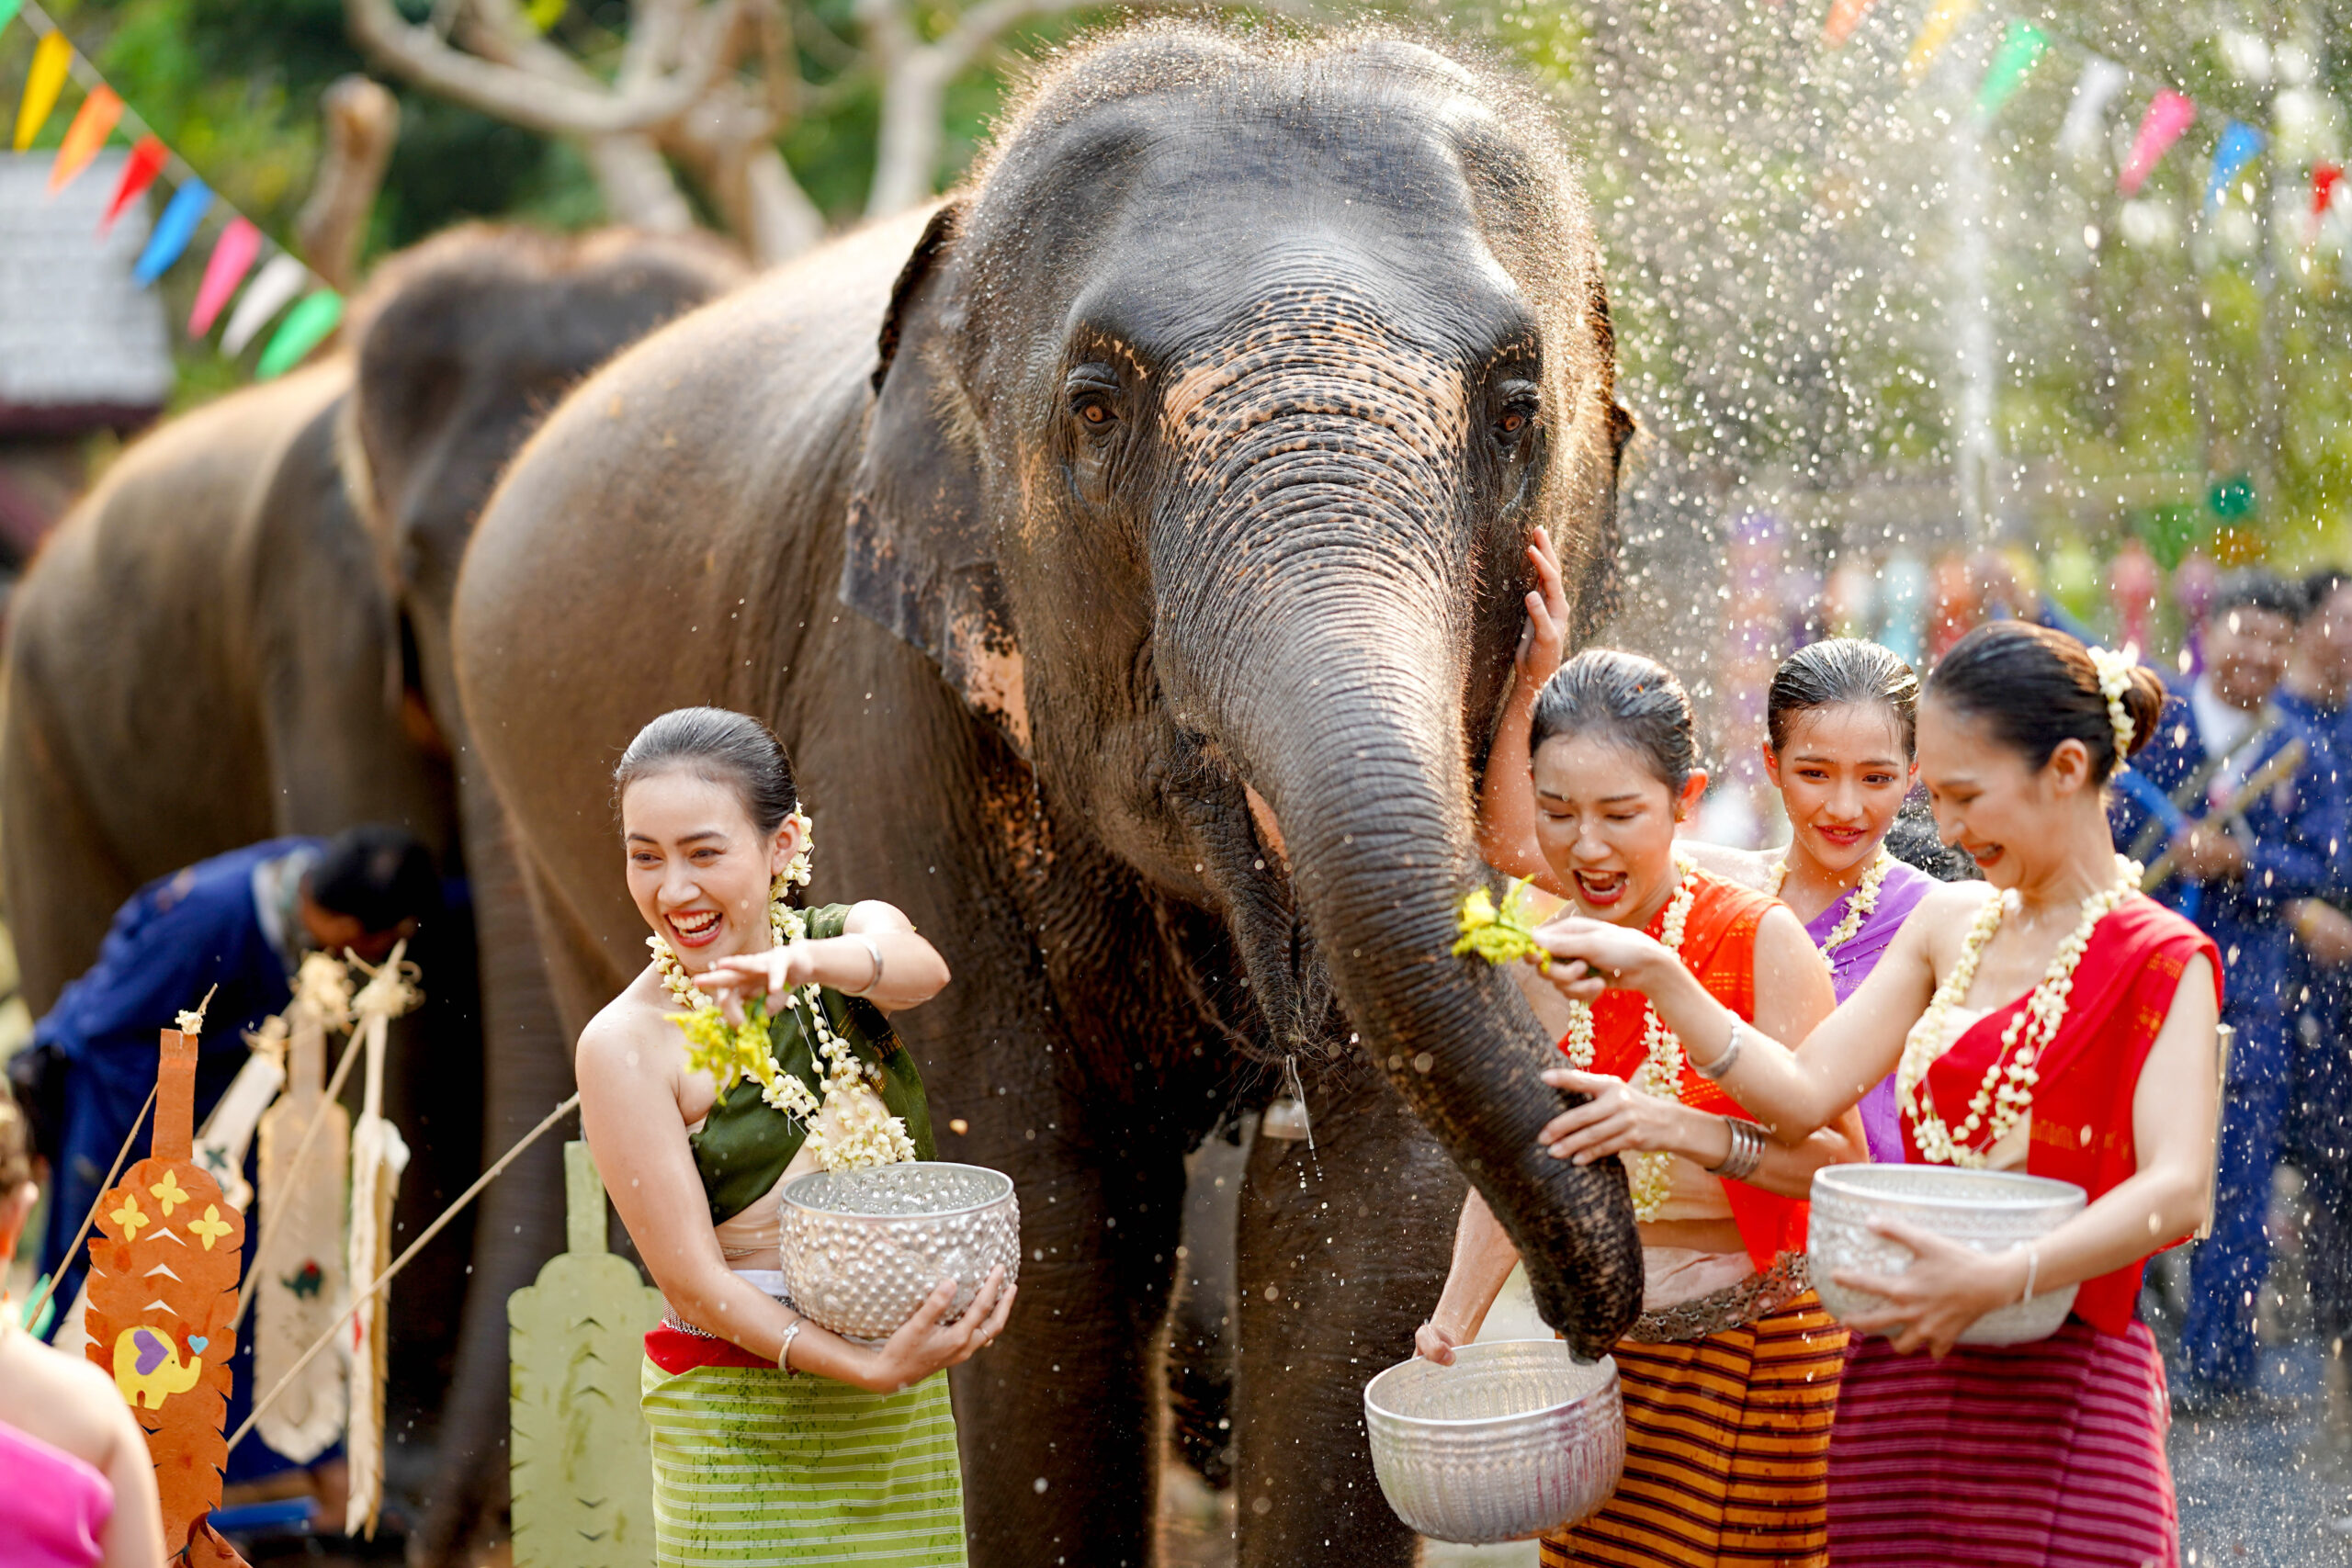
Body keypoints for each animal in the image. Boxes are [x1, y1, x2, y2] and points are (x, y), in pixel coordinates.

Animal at [454, 25, 1643, 1566]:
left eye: (1515, 411)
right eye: (1093, 410)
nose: (1590, 1309)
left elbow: (1367, 1211)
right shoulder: (892, 711)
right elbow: (1050, 1212)